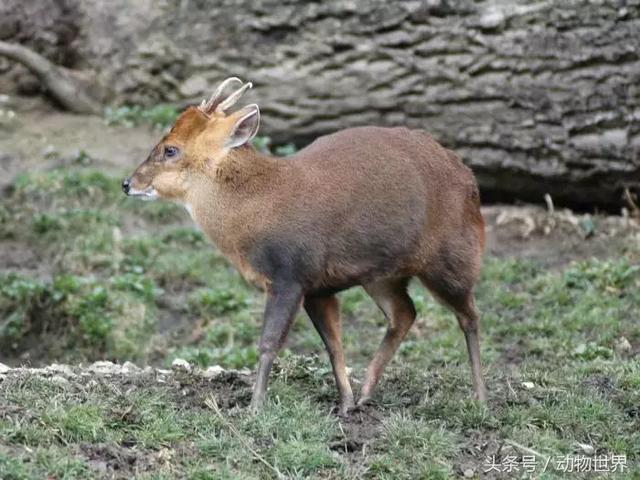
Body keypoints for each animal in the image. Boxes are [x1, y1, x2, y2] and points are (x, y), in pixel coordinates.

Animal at [124, 77, 484, 414]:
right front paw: (346, 404)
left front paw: (254, 408)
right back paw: (367, 393)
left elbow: (269, 343)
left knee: (469, 316)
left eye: (171, 149)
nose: (128, 183)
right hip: (382, 274)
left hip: (452, 258)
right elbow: (333, 344)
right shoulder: (318, 287)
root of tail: (469, 179)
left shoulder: (290, 275)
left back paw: (480, 397)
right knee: (404, 313)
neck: (259, 204)